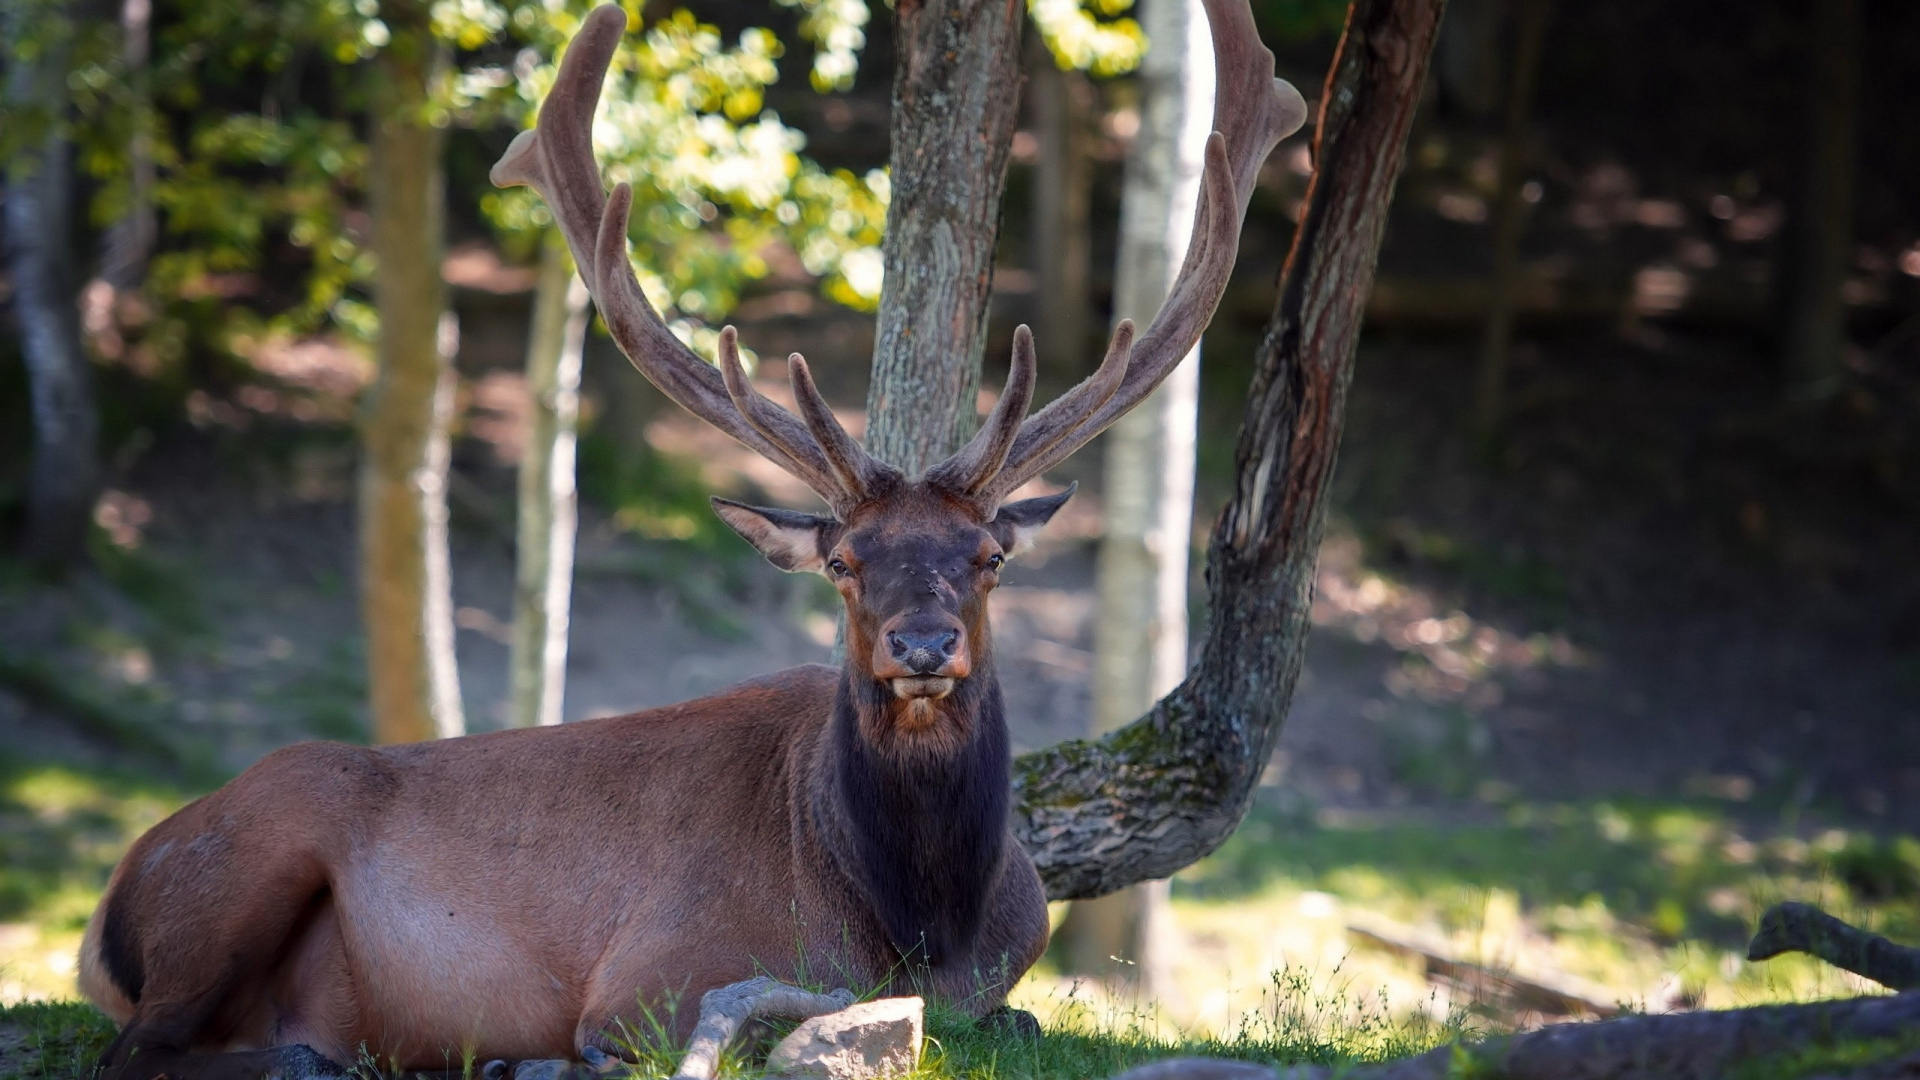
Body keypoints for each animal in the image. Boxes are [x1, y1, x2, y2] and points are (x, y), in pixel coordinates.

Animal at [74, 4, 1305, 1068]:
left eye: (988, 559)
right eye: (844, 563)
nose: (920, 645)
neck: (921, 923)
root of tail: (111, 899)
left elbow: (1020, 1017)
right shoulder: (653, 978)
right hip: (247, 857)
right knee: (140, 1048)